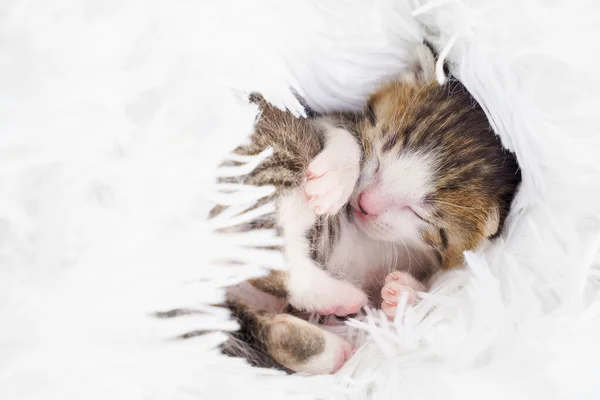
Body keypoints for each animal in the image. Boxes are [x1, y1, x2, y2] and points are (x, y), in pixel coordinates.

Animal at [214, 44, 520, 376]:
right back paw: (337, 297)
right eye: (381, 153)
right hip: (269, 168)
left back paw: (328, 343)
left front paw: (404, 294)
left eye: (419, 214)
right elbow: (344, 135)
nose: (364, 204)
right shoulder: (321, 119)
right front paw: (335, 179)